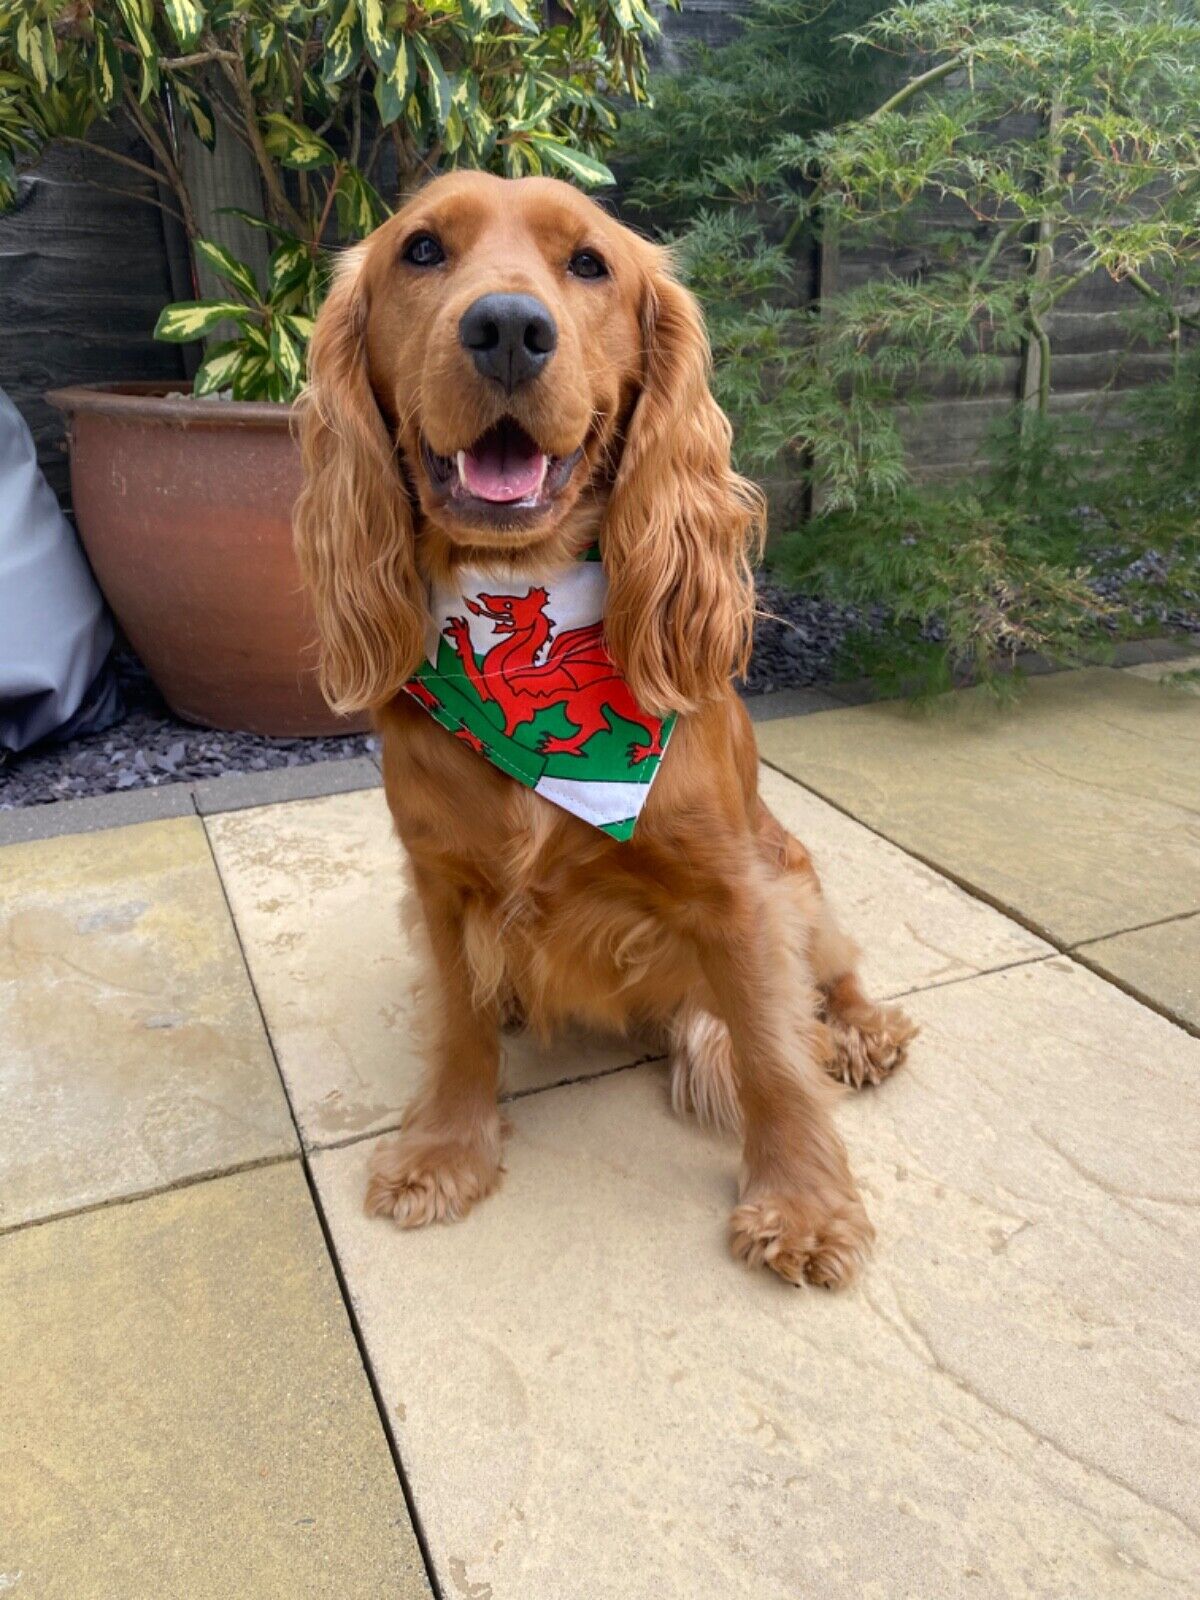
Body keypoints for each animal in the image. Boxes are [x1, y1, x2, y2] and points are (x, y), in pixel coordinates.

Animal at [296, 168, 915, 1286]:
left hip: (796, 872)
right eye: (422, 250)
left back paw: (859, 1031)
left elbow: (771, 1052)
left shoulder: (733, 890)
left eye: (589, 263)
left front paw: (803, 1203)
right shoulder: (437, 881)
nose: (506, 327)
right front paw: (445, 1150)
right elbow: (457, 1021)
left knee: (834, 970)